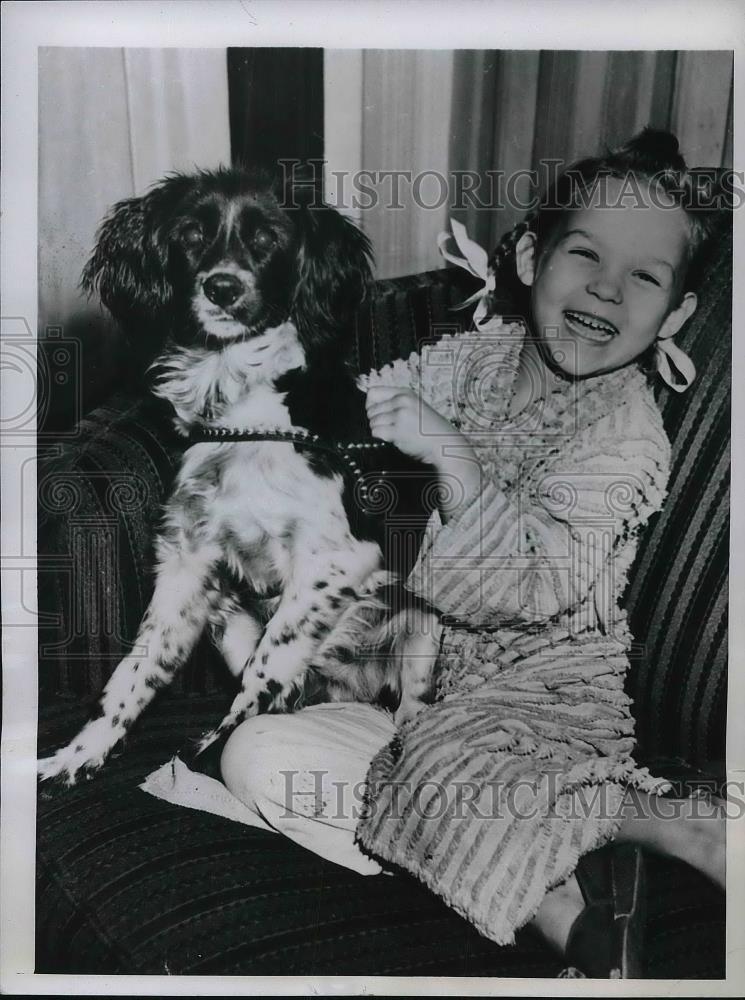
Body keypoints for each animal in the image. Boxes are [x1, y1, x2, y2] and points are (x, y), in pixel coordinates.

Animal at [37, 166, 438, 788]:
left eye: (268, 238)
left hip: (422, 630)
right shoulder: (187, 560)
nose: (221, 288)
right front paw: (82, 753)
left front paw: (209, 749)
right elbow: (138, 668)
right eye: (190, 235)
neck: (246, 412)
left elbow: (265, 668)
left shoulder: (340, 559)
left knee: (406, 706)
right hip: (227, 615)